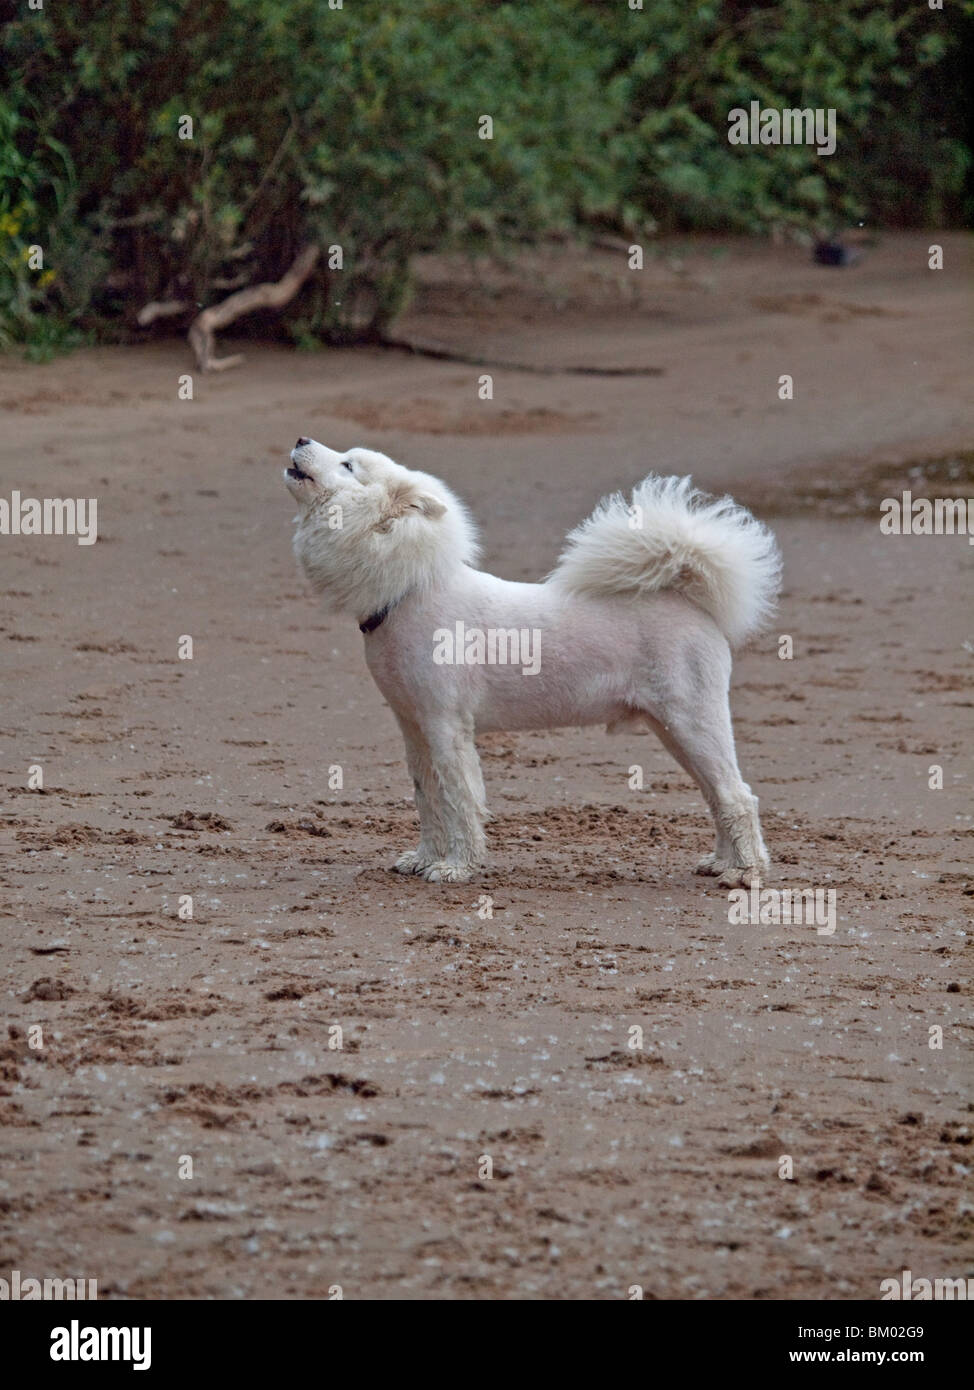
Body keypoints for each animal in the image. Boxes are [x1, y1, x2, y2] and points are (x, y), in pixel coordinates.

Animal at [283, 439, 783, 884]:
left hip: (692, 721)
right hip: (674, 729)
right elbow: (428, 800)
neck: (410, 590)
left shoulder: (447, 727)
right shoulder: (414, 727)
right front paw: (423, 860)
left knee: (737, 796)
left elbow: (458, 800)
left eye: (349, 466)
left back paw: (745, 874)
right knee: (717, 794)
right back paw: (720, 864)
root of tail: (691, 600)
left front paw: (455, 868)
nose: (300, 439)